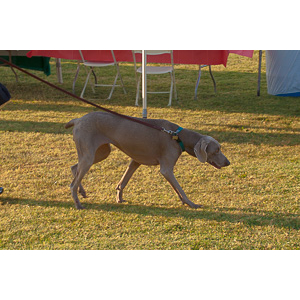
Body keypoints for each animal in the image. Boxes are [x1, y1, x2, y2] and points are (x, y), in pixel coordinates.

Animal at [65, 111, 230, 210]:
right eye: (217, 150)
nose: (228, 162)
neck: (178, 136)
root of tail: (78, 119)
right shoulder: (166, 169)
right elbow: (179, 187)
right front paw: (191, 203)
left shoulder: (135, 161)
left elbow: (122, 182)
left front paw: (119, 198)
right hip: (90, 153)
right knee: (73, 182)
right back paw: (78, 203)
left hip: (102, 152)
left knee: (74, 167)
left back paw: (82, 191)